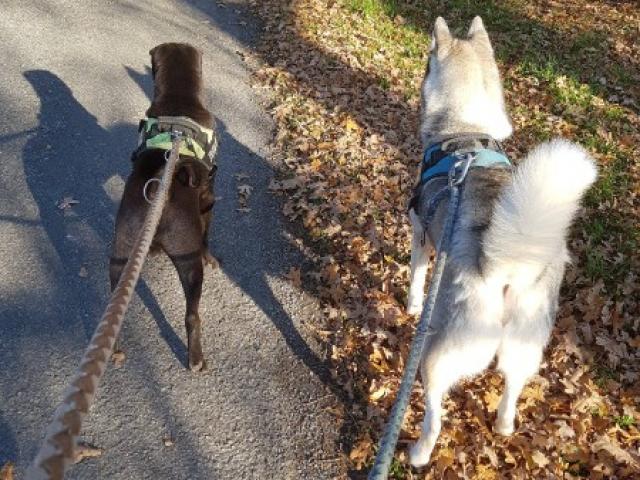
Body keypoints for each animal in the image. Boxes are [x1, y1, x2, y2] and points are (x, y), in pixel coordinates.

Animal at [111, 44, 219, 372]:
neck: (179, 103)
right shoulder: (208, 198)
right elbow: (208, 233)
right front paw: (212, 256)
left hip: (120, 258)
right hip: (189, 264)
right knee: (192, 315)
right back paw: (195, 358)